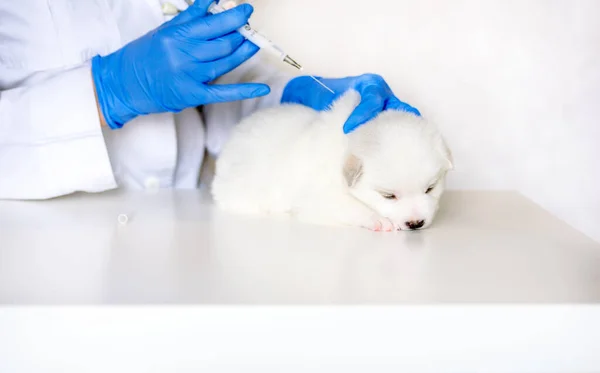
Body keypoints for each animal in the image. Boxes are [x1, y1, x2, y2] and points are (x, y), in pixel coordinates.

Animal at [213, 89, 452, 230]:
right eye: (388, 196)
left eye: (430, 189)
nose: (416, 223)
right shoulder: (320, 196)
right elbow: (349, 206)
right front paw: (377, 220)